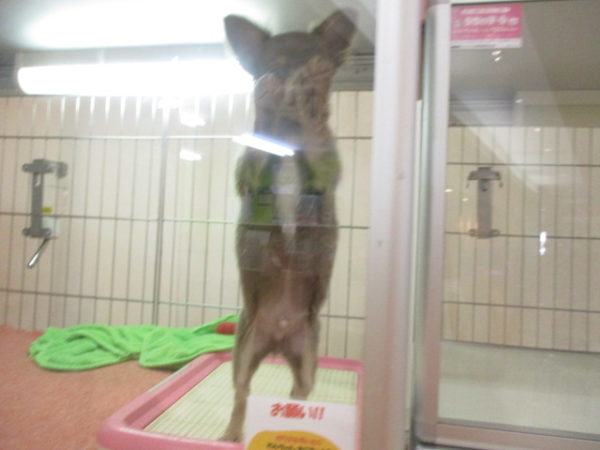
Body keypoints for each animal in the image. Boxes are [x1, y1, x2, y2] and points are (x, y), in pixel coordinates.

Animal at [222, 10, 355, 442]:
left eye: (320, 68)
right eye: (272, 65)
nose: (288, 79)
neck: (289, 136)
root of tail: (278, 338)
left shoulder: (324, 173)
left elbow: (316, 141)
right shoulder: (249, 178)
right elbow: (259, 150)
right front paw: (266, 95)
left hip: (308, 356)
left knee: (300, 391)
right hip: (246, 348)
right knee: (241, 394)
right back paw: (231, 434)